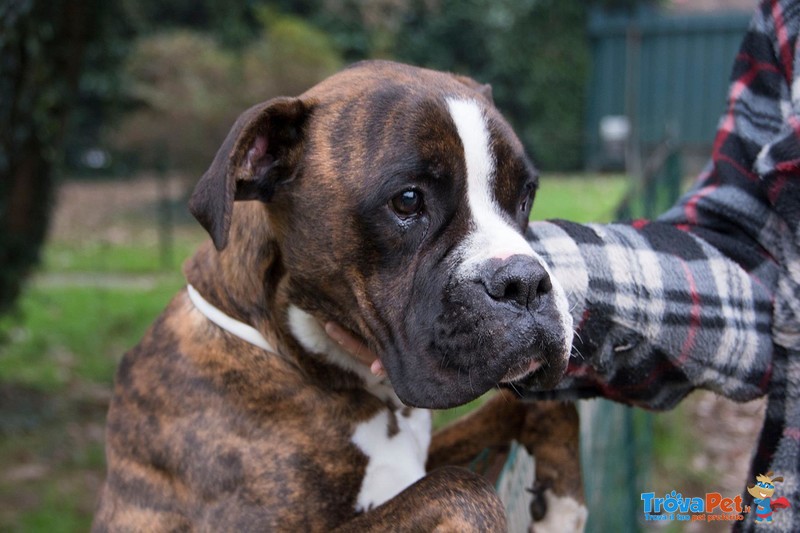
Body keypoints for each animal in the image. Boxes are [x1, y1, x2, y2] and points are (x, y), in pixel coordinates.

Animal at [94, 60, 584, 528]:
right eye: (408, 200)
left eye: (526, 195)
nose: (525, 282)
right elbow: (463, 489)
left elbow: (535, 409)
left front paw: (562, 500)